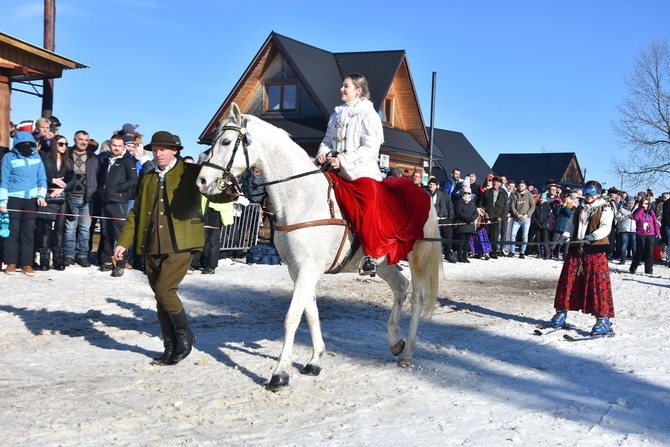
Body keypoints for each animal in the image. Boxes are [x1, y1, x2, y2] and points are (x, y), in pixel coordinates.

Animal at [197, 105, 444, 392]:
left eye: (226, 142)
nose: (201, 181)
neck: (301, 197)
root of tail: (423, 193)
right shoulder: (298, 270)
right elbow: (311, 312)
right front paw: (314, 360)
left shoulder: (308, 269)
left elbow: (293, 316)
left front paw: (280, 374)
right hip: (383, 262)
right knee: (400, 287)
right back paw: (395, 342)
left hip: (418, 258)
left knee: (416, 298)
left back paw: (407, 353)